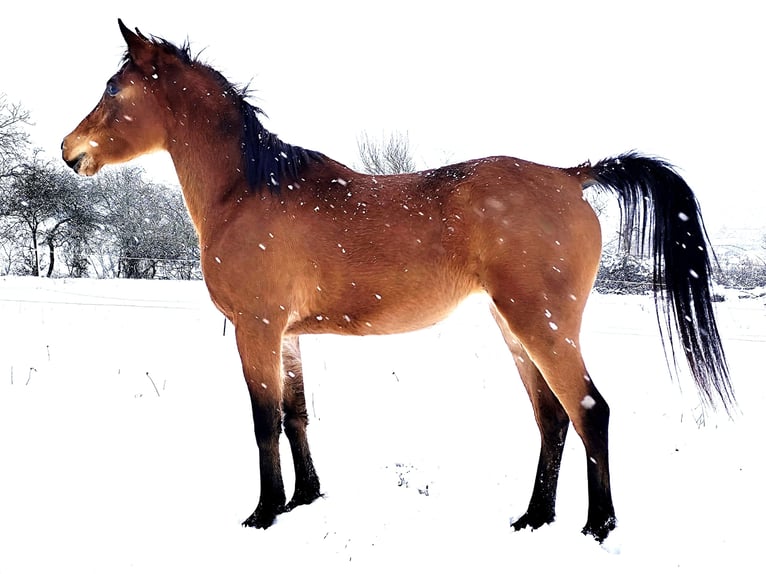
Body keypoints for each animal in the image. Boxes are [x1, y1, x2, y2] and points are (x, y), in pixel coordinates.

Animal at [62, 20, 735, 542]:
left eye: (114, 88)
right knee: (552, 417)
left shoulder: (256, 329)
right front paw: (305, 498)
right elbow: (297, 414)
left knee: (590, 410)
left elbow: (264, 420)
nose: (71, 151)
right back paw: (534, 518)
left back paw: (598, 526)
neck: (248, 190)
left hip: (542, 327)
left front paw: (264, 513)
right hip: (516, 329)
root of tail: (572, 175)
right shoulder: (286, 334)